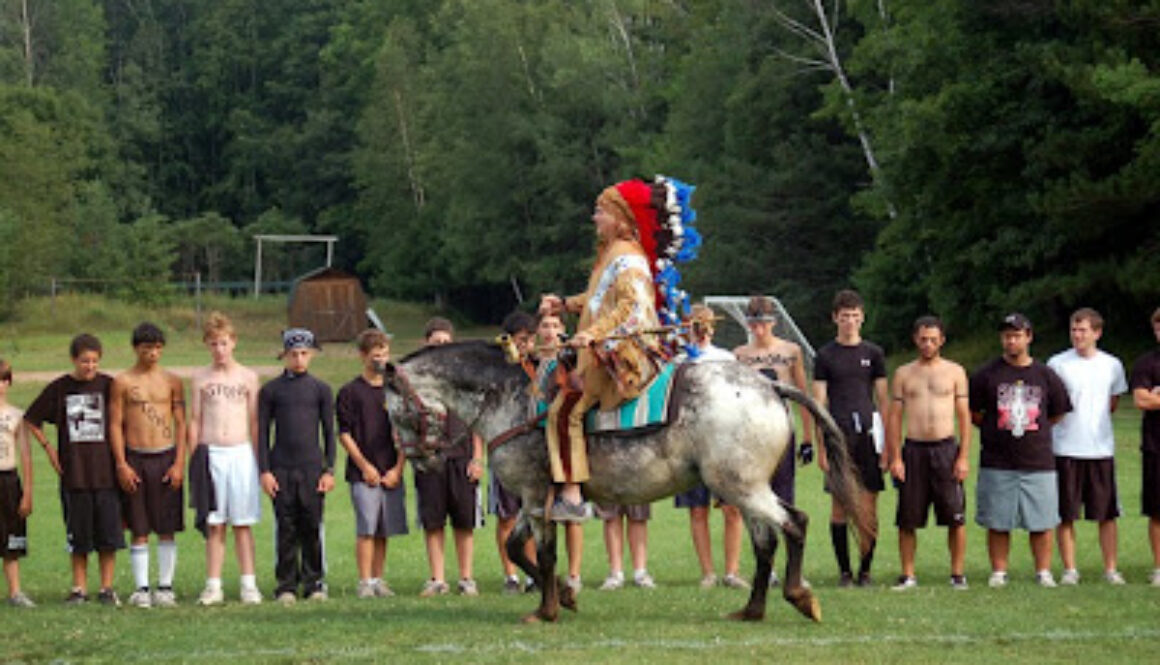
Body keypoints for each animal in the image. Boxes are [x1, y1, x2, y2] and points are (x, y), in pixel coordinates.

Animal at [382, 338, 872, 626]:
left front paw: (547, 609)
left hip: (742, 486)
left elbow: (544, 553)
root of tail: (770, 387)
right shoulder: (531, 500)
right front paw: (565, 596)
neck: (508, 396)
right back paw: (751, 610)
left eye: (393, 411)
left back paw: (798, 595)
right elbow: (516, 548)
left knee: (795, 523)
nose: (420, 462)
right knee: (766, 541)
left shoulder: (537, 495)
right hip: (742, 486)